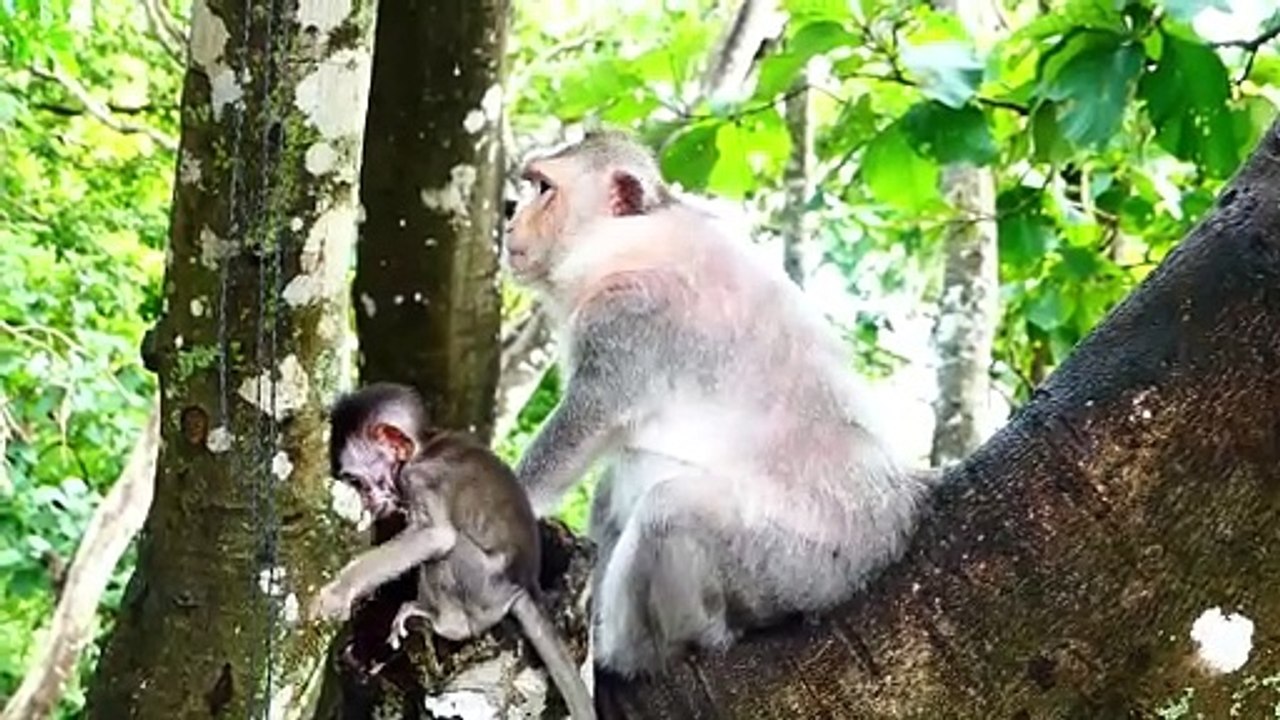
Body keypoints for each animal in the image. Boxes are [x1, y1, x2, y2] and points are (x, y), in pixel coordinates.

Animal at [307, 383, 596, 720]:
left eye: (356, 481)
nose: (367, 504)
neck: (423, 448)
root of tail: (526, 585)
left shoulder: (420, 479)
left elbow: (436, 537)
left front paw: (340, 591)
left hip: (486, 590)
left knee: (453, 548)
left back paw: (446, 624)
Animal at [503, 129, 933, 677]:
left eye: (543, 188)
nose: (510, 217)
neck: (629, 241)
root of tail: (895, 521)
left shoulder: (629, 318)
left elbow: (587, 419)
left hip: (803, 565)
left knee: (670, 510)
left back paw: (638, 651)